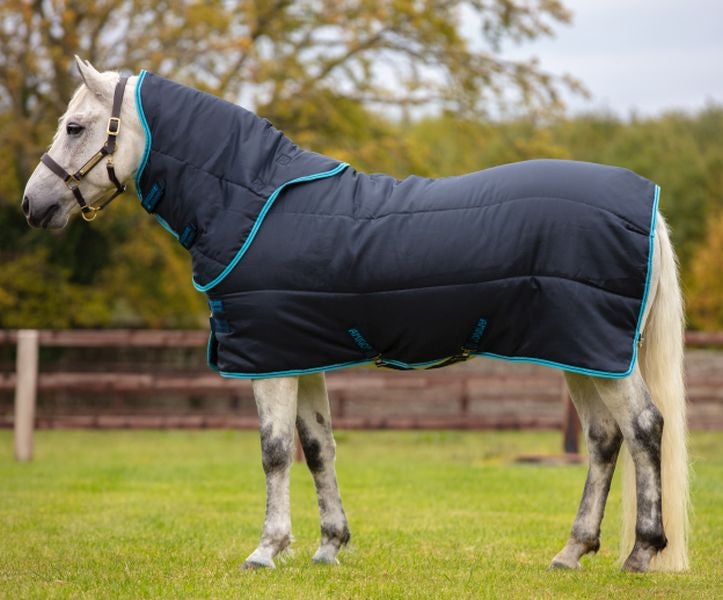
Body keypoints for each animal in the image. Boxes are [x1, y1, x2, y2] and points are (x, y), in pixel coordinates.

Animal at [22, 57, 689, 572]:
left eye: (75, 126)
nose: (32, 205)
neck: (250, 201)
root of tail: (649, 204)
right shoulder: (299, 354)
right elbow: (318, 448)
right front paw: (328, 547)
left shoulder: (268, 360)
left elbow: (274, 451)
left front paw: (266, 551)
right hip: (581, 353)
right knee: (604, 439)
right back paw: (571, 553)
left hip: (597, 352)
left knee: (643, 428)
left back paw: (641, 553)